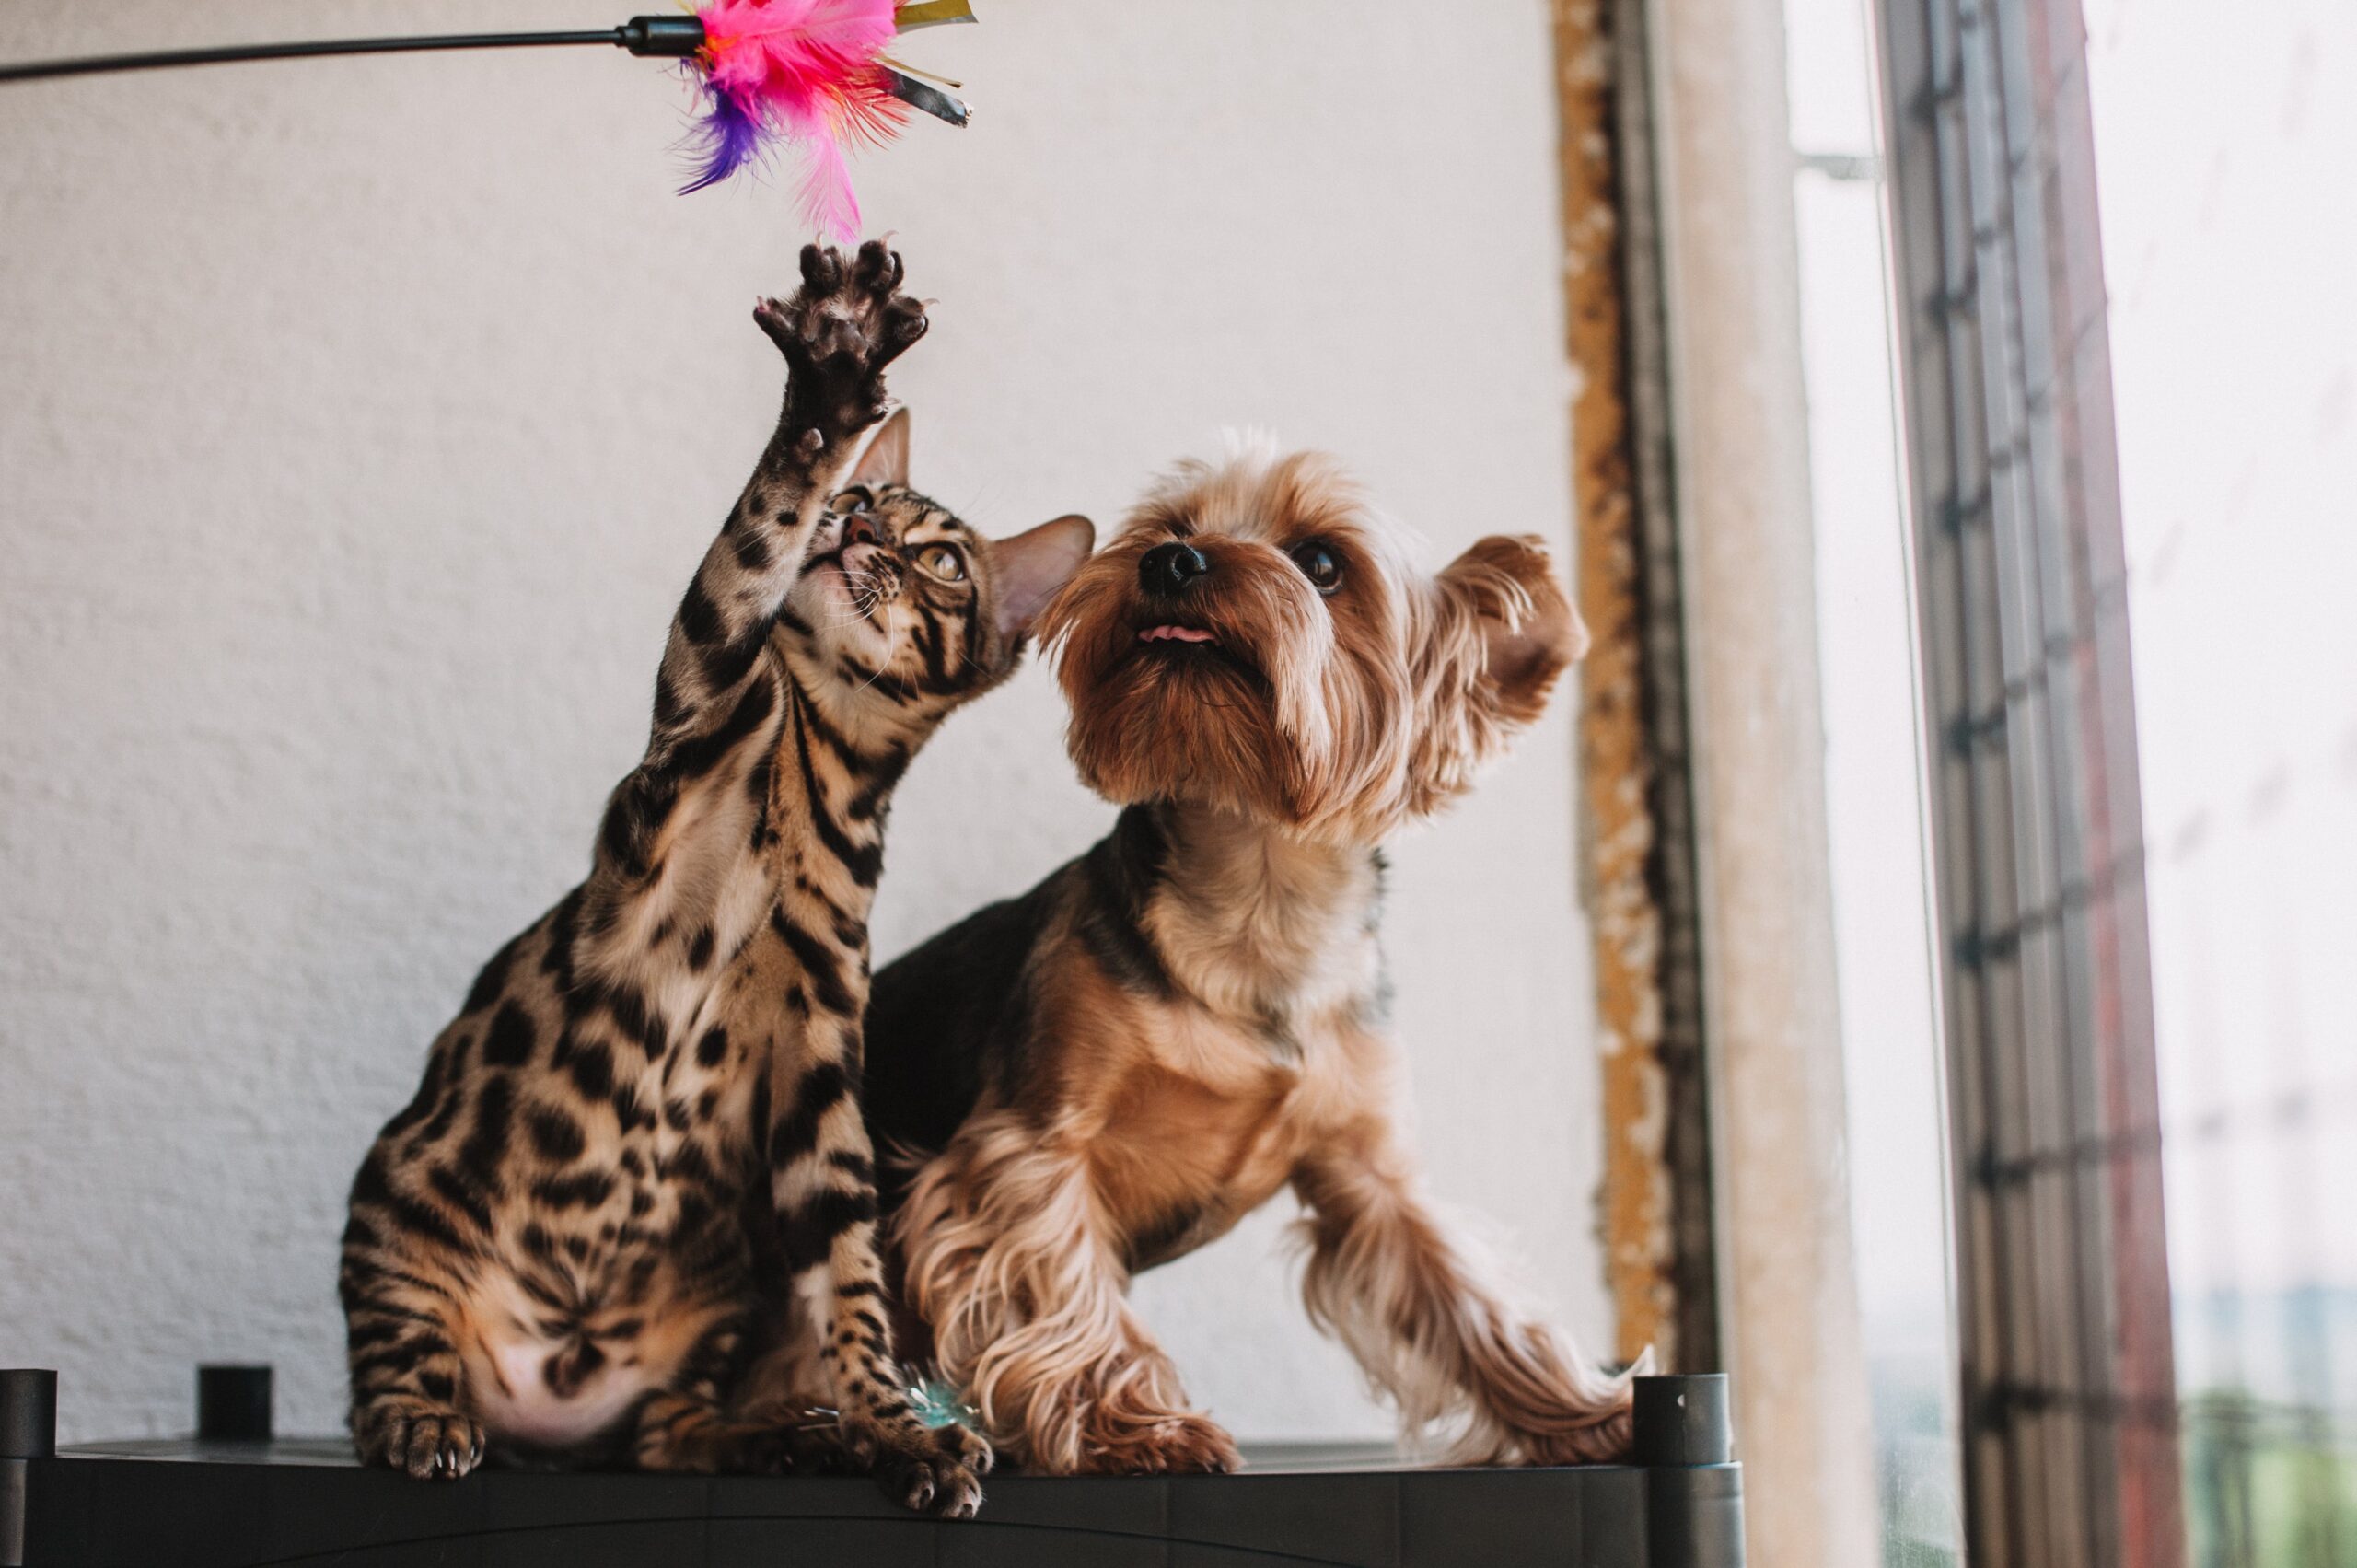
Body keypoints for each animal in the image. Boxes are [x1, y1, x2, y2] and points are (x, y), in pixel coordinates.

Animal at [337, 245, 1088, 1518]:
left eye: (940, 561)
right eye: (857, 503)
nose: (856, 529)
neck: (812, 778)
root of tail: (547, 1406)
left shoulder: (821, 1075)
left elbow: (853, 1288)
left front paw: (895, 1431)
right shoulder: (691, 725)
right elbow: (747, 548)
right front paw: (830, 382)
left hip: (720, 1292)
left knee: (664, 1435)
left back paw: (790, 1434)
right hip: (397, 1203)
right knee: (384, 1376)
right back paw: (423, 1419)